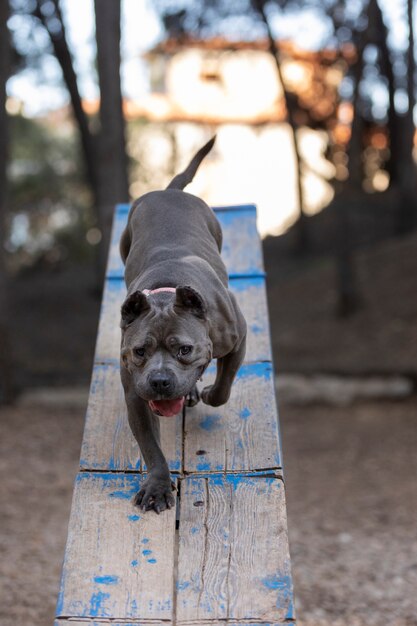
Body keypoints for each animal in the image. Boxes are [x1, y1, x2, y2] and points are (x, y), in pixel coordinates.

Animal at [118, 136, 245, 512]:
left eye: (185, 349)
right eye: (139, 351)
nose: (160, 381)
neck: (165, 291)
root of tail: (168, 191)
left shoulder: (238, 337)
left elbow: (224, 385)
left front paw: (208, 391)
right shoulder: (135, 395)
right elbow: (151, 448)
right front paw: (158, 486)